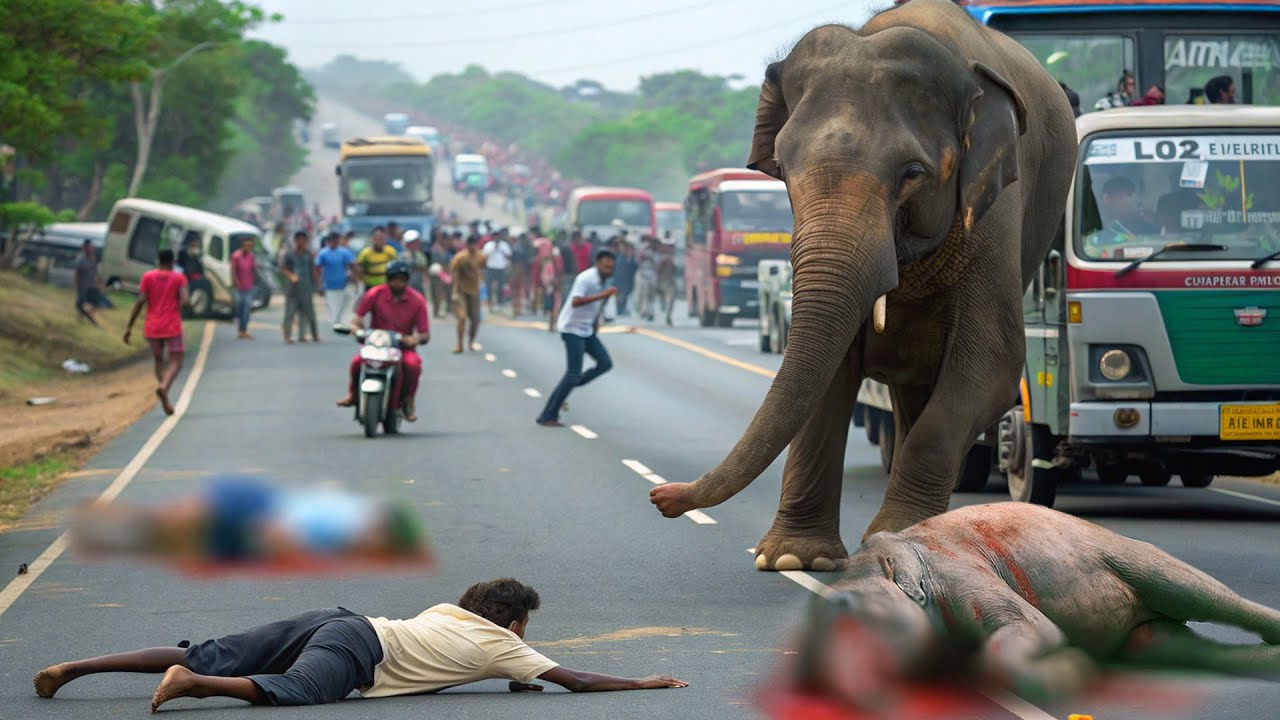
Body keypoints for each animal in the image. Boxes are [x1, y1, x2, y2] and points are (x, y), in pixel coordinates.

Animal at [649, 0, 1078, 570]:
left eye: (913, 172)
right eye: (782, 168)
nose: (660, 496)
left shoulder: (995, 212)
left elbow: (992, 365)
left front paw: (894, 540)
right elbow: (827, 372)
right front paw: (796, 560)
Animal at [780, 502, 1280, 708]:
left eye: (846, 606)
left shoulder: (956, 571)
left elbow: (1038, 630)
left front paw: (1073, 669)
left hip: (1126, 552)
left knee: (1197, 592)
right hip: (1147, 630)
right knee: (1168, 643)